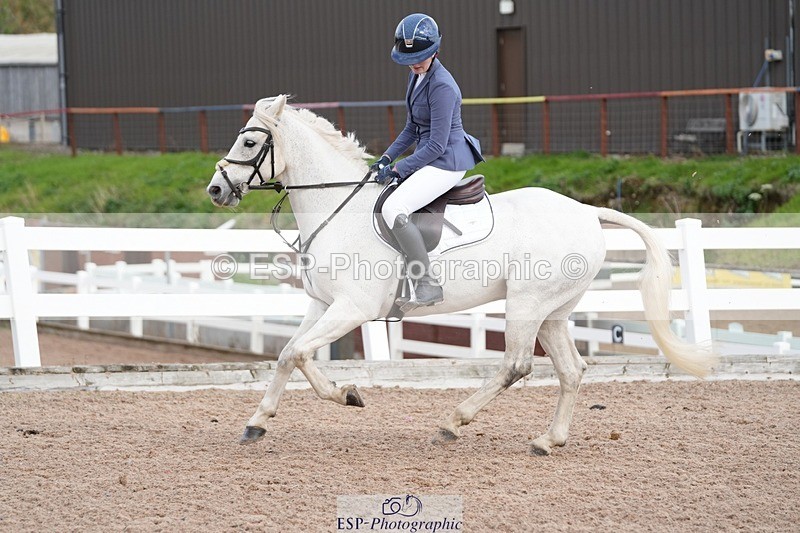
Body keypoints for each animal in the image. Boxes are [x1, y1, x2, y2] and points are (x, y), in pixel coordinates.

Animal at [206, 95, 716, 455]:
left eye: (249, 143)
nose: (215, 190)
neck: (337, 207)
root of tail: (587, 211)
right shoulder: (322, 304)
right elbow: (286, 355)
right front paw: (257, 421)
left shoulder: (353, 308)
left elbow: (300, 354)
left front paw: (346, 394)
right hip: (552, 312)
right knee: (571, 370)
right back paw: (548, 440)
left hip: (526, 303)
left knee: (515, 365)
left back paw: (452, 423)